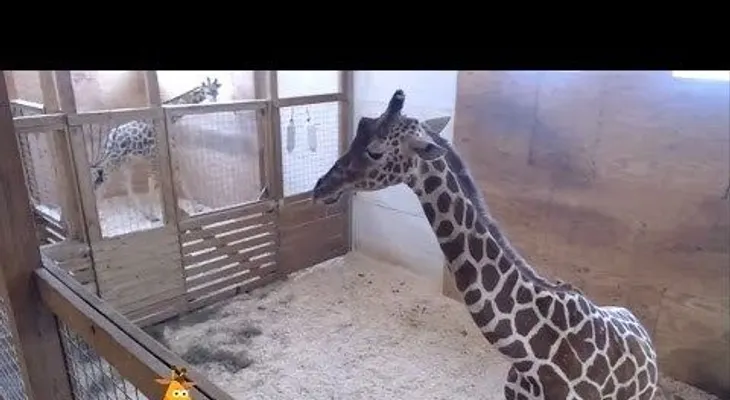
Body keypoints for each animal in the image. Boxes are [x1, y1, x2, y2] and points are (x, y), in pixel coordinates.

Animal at [89, 77, 222, 222]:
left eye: (216, 92)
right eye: (207, 91)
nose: (214, 102)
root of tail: (107, 139)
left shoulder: (163, 155)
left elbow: (173, 178)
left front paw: (195, 208)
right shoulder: (154, 156)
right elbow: (154, 182)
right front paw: (157, 214)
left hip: (125, 163)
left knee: (124, 184)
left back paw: (144, 213)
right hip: (113, 162)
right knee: (100, 184)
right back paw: (102, 217)